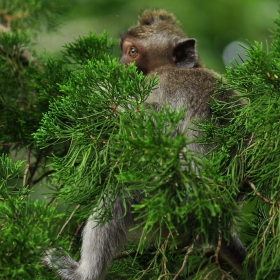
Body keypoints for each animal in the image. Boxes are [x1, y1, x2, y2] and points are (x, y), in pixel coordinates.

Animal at [43, 9, 247, 280]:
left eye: (132, 51)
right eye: (123, 50)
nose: (120, 65)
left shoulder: (162, 82)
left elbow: (150, 121)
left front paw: (98, 92)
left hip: (173, 202)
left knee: (121, 195)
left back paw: (83, 272)